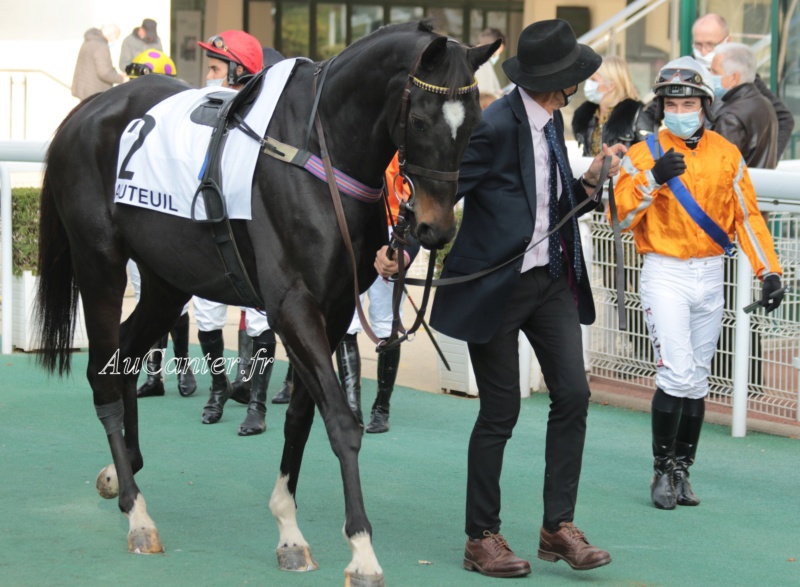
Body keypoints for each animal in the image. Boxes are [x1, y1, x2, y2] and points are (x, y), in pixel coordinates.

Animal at [37, 20, 500, 584]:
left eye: (473, 122)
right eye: (418, 118)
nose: (436, 229)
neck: (318, 150)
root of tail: (83, 113)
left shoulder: (334, 307)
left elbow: (303, 416)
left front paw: (289, 531)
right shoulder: (292, 305)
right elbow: (340, 422)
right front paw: (362, 550)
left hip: (167, 277)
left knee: (126, 355)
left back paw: (123, 469)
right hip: (99, 263)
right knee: (103, 371)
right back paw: (137, 513)